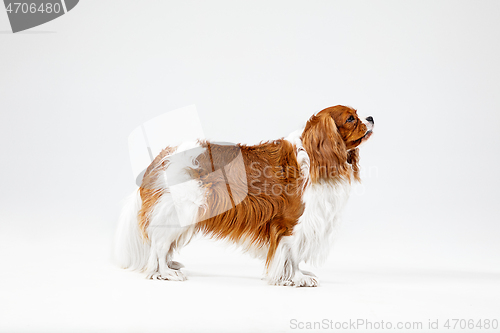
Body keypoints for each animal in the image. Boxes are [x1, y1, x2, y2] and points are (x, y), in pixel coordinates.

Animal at [115, 105, 374, 286]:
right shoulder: (291, 222)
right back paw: (165, 272)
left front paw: (293, 275)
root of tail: (161, 157)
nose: (371, 118)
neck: (314, 154)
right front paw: (297, 278)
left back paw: (171, 264)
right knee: (159, 244)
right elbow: (292, 253)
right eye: (351, 118)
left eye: (357, 114)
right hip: (182, 209)